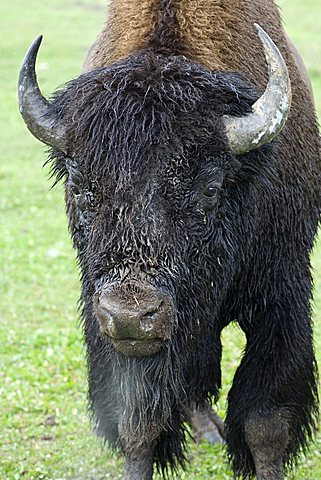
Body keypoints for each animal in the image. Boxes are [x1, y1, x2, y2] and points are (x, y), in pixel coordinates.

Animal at [18, 0, 320, 480]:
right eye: (79, 186)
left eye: (210, 188)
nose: (130, 314)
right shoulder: (119, 341)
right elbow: (139, 425)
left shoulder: (281, 297)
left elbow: (266, 425)